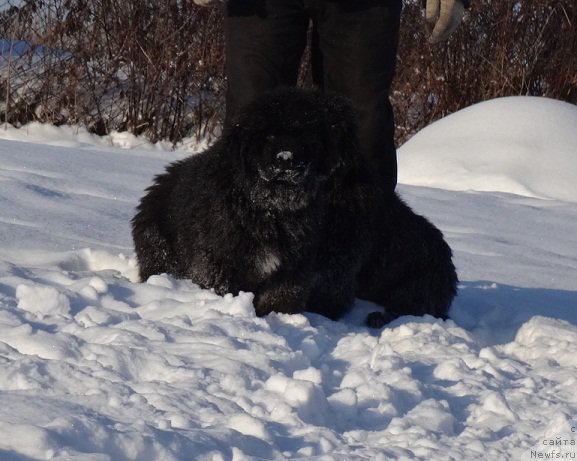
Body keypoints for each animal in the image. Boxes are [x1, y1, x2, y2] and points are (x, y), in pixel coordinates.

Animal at [133, 86, 456, 324]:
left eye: (314, 133)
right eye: (268, 135)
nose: (286, 159)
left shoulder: (320, 266)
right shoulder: (220, 258)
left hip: (416, 288)